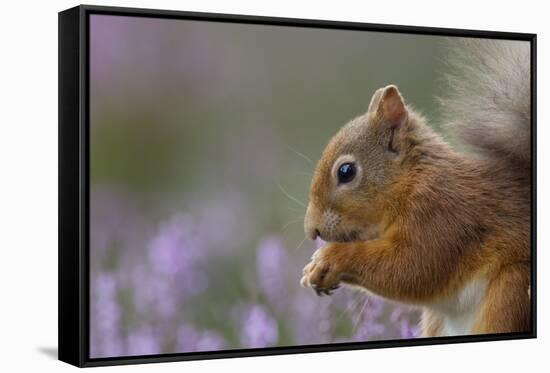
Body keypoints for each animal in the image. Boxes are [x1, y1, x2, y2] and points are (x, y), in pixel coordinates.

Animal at [304, 40, 532, 334]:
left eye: (346, 171)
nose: (311, 230)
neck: (410, 183)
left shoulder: (442, 215)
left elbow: (413, 268)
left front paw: (330, 258)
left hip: (511, 290)